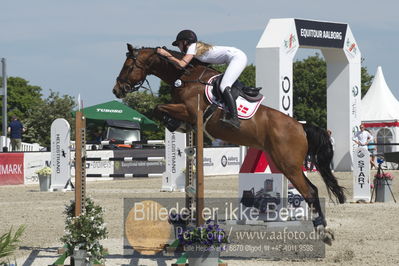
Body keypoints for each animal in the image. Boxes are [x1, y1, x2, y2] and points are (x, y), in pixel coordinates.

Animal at [112, 43, 346, 245]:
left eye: (129, 66)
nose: (117, 90)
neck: (185, 77)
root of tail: (301, 127)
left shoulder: (190, 110)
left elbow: (158, 108)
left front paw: (172, 123)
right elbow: (161, 109)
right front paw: (177, 125)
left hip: (288, 165)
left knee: (310, 192)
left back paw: (323, 231)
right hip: (282, 162)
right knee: (311, 189)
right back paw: (322, 229)